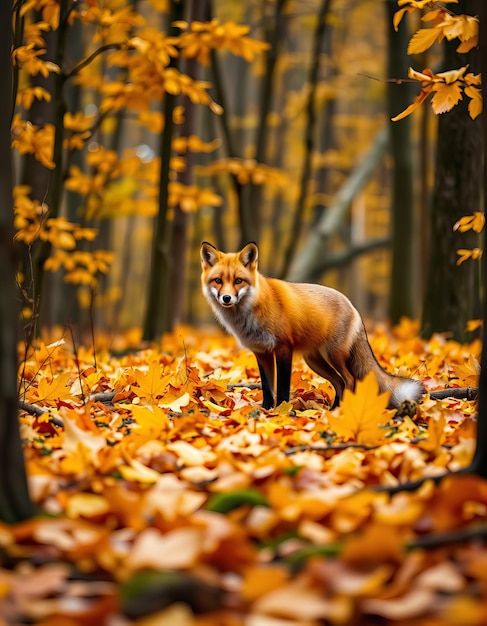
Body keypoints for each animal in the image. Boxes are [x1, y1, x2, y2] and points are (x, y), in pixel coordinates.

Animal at [199, 241, 424, 412]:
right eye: (218, 280)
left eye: (238, 281)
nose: (226, 298)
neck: (252, 310)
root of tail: (352, 306)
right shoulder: (261, 352)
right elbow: (267, 387)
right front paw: (267, 410)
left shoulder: (283, 348)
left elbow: (282, 386)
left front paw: (282, 410)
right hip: (316, 361)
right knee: (339, 382)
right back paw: (334, 409)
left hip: (333, 355)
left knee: (350, 379)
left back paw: (342, 410)